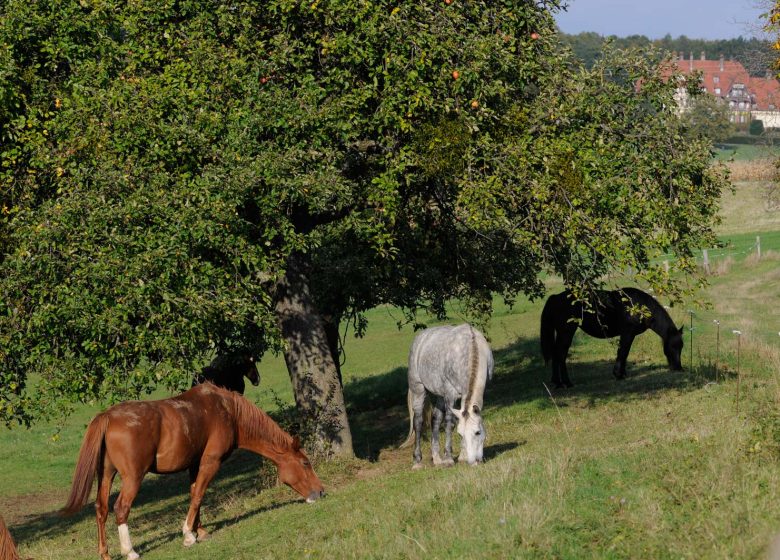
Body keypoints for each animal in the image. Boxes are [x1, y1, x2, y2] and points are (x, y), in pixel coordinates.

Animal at [61, 382, 326, 560]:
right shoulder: (210, 462)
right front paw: (188, 535)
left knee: (102, 509)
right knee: (121, 508)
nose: (321, 492)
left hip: (106, 475)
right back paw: (130, 551)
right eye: (305, 463)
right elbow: (199, 494)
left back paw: (105, 553)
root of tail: (108, 416)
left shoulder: (194, 464)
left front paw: (200, 530)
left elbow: (194, 494)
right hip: (133, 478)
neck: (228, 412)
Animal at [402, 324, 494, 468]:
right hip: (419, 389)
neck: (471, 348)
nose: (474, 461)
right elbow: (450, 423)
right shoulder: (450, 394)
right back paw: (417, 461)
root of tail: (420, 338)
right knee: (418, 422)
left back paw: (437, 459)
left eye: (477, 432)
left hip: (440, 394)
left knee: (435, 419)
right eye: (460, 434)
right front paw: (449, 458)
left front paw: (462, 457)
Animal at [544, 286, 684, 388]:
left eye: (681, 347)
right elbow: (623, 352)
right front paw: (618, 375)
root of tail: (556, 298)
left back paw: (557, 382)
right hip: (566, 332)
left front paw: (622, 374)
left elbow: (624, 352)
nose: (678, 368)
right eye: (673, 346)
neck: (637, 307)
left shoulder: (629, 335)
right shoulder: (627, 333)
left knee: (556, 354)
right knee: (561, 355)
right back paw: (566, 383)